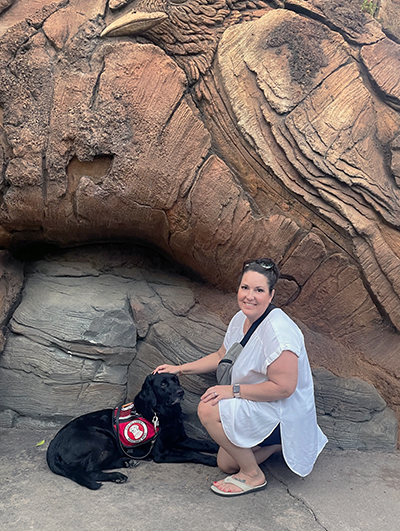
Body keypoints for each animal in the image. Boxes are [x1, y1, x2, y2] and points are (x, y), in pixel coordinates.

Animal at [47, 374, 219, 490]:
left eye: (175, 380)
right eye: (163, 384)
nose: (180, 392)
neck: (163, 414)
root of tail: (53, 445)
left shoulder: (181, 439)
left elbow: (206, 444)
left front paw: (218, 448)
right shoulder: (161, 454)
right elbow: (192, 453)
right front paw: (212, 460)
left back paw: (127, 462)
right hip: (103, 439)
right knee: (90, 471)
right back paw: (117, 475)